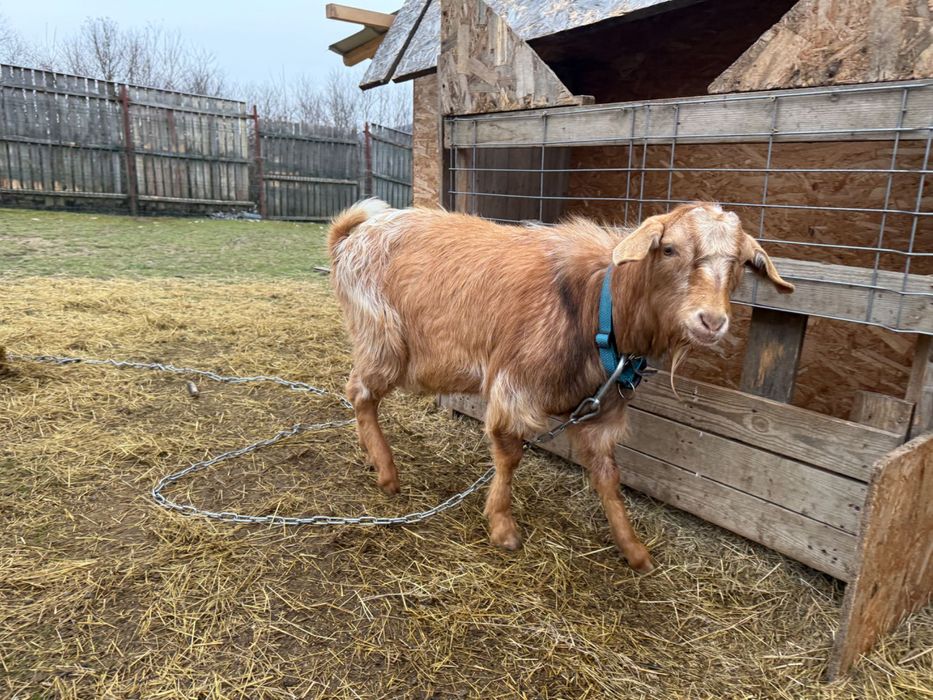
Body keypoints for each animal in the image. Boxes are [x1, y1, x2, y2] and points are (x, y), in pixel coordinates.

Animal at [327, 199, 792, 572]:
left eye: (739, 263)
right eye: (669, 248)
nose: (711, 321)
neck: (598, 304)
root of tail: (351, 236)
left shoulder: (600, 409)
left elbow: (607, 475)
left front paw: (634, 550)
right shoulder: (514, 387)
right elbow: (509, 453)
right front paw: (502, 526)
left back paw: (373, 458)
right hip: (382, 339)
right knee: (359, 393)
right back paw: (387, 473)